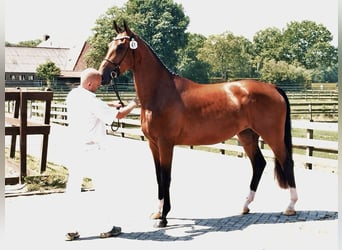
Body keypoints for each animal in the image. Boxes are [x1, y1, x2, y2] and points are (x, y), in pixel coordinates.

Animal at [97, 21, 298, 229]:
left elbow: (166, 177)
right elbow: (158, 177)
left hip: (272, 135)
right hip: (247, 135)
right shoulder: (153, 144)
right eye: (109, 45)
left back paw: (290, 206)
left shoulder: (165, 144)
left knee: (287, 162)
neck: (160, 93)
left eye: (121, 47)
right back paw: (245, 206)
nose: (102, 75)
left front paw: (164, 217)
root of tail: (273, 87)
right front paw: (158, 212)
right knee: (259, 164)